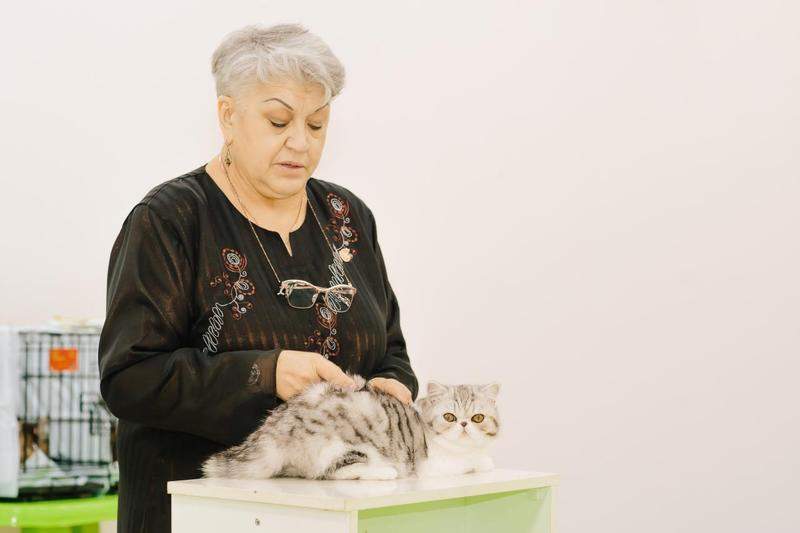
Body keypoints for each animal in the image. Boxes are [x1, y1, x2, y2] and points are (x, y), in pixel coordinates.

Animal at [201, 374, 501, 480]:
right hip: (345, 446)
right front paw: (485, 462)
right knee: (333, 472)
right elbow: (472, 463)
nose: (463, 424)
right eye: (449, 417)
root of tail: (272, 431)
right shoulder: (434, 465)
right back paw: (385, 473)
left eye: (477, 418)